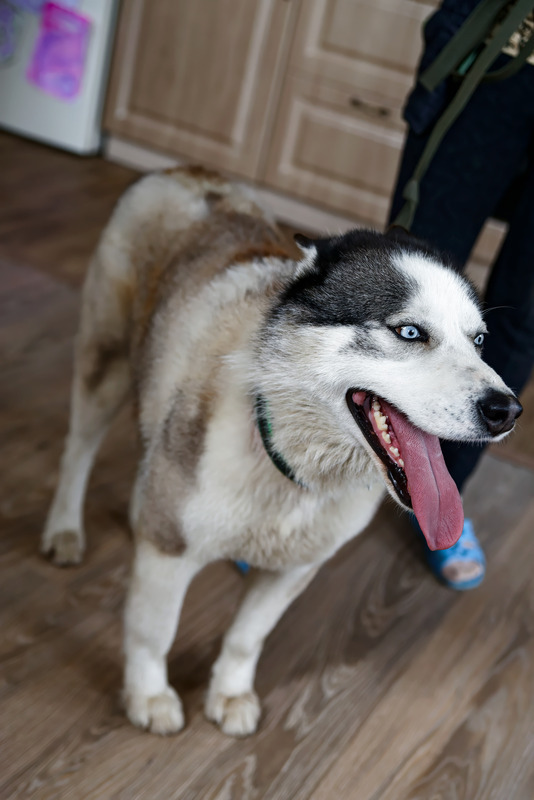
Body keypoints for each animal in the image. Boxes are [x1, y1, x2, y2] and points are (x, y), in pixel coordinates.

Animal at [42, 167, 524, 736]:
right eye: (409, 332)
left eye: (479, 341)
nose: (507, 410)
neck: (291, 467)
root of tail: (187, 171)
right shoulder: (169, 546)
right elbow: (153, 630)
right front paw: (149, 695)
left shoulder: (295, 568)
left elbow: (246, 638)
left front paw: (229, 693)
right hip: (106, 360)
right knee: (79, 450)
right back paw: (64, 528)